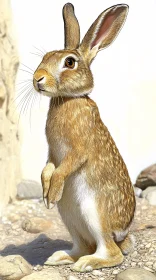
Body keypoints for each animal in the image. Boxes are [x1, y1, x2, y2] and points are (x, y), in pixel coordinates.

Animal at [33, 3, 135, 272]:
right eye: (45, 56)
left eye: (69, 62)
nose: (37, 79)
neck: (67, 99)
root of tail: (121, 234)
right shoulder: (51, 151)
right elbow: (48, 167)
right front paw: (46, 193)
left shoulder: (79, 149)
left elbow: (65, 166)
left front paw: (53, 191)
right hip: (69, 216)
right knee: (83, 245)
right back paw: (60, 258)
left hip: (95, 212)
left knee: (112, 253)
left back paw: (87, 263)